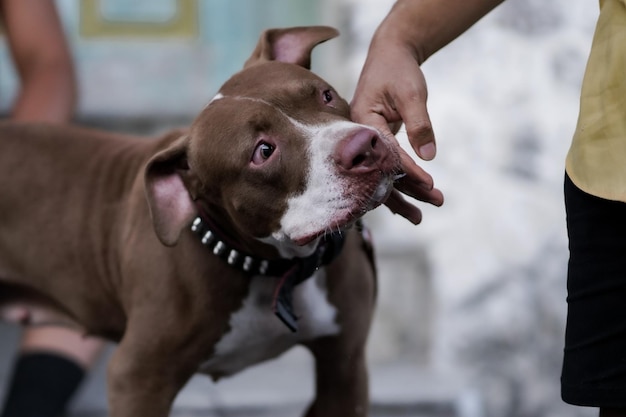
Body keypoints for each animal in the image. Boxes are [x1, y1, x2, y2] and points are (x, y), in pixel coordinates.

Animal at [0, 26, 400, 416]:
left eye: (326, 95)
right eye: (263, 151)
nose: (363, 146)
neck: (270, 267)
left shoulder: (344, 370)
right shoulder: (138, 378)